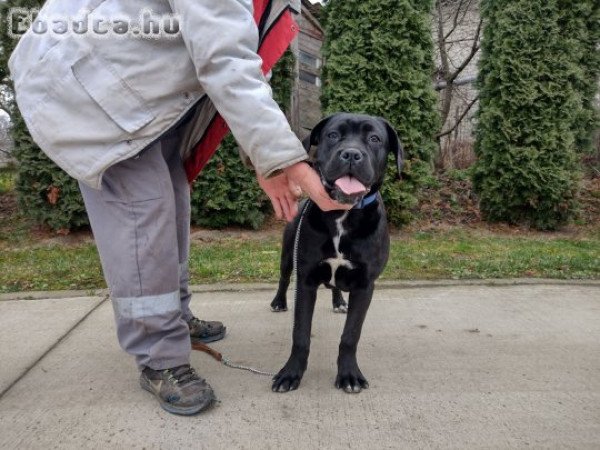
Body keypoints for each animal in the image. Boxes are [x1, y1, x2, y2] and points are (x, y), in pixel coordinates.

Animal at [270, 113, 404, 394]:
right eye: (332, 135)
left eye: (374, 138)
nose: (351, 154)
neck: (343, 214)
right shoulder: (306, 280)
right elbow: (300, 333)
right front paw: (291, 373)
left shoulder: (365, 285)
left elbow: (351, 335)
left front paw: (349, 375)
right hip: (288, 255)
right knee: (284, 278)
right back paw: (279, 302)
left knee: (336, 286)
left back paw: (339, 301)